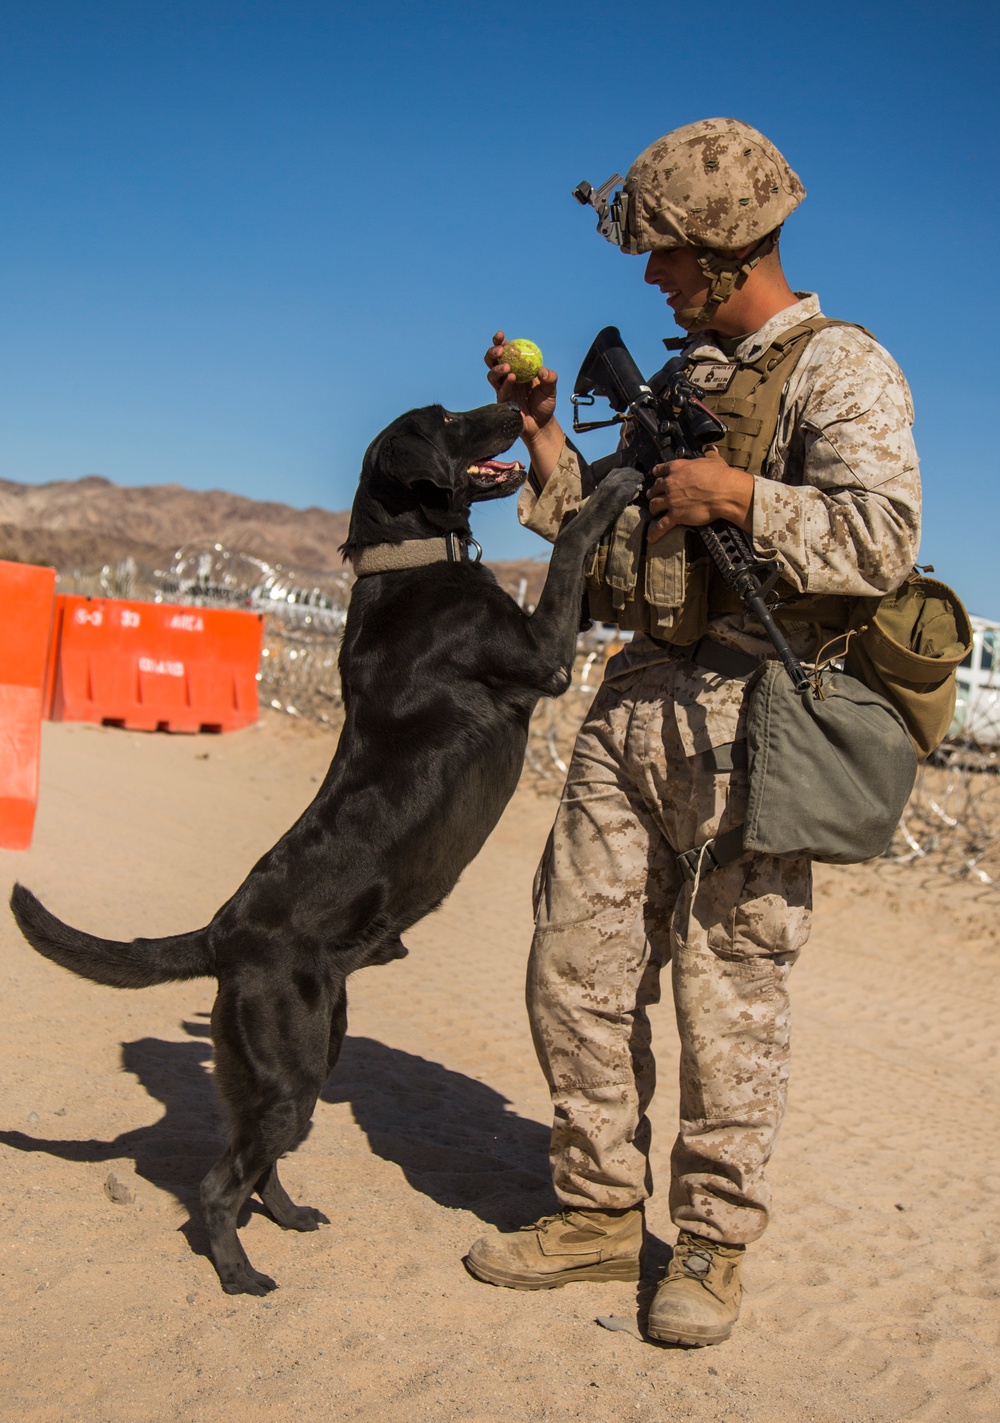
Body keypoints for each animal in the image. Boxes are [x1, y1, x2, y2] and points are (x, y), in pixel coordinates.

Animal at [11, 398, 642, 1292]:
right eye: (450, 417)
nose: (518, 406)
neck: (410, 564)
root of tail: (220, 931)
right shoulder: (545, 654)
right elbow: (570, 547)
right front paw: (615, 482)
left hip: (306, 1051)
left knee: (255, 1160)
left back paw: (290, 1215)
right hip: (291, 1064)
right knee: (219, 1181)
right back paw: (239, 1273)